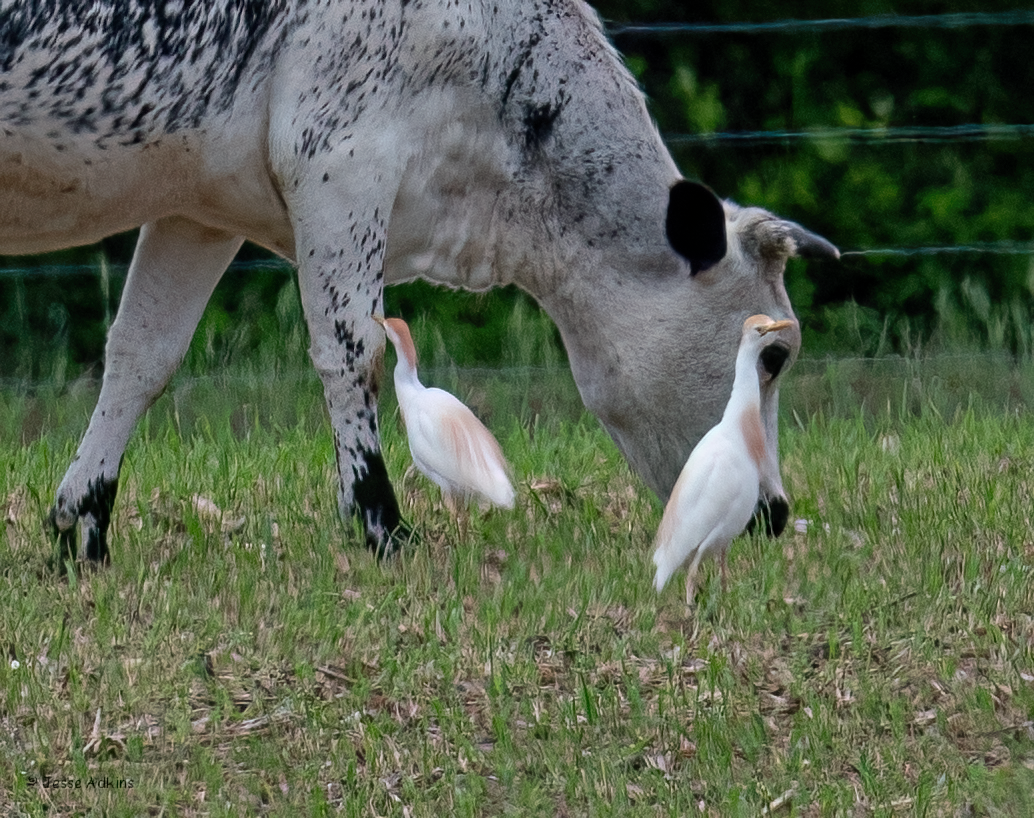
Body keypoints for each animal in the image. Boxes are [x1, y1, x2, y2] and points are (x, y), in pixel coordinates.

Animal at [0, 0, 835, 566]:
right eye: (774, 356)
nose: (775, 512)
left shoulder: (199, 206)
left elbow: (142, 355)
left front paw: (82, 532)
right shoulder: (339, 164)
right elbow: (354, 353)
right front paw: (382, 526)